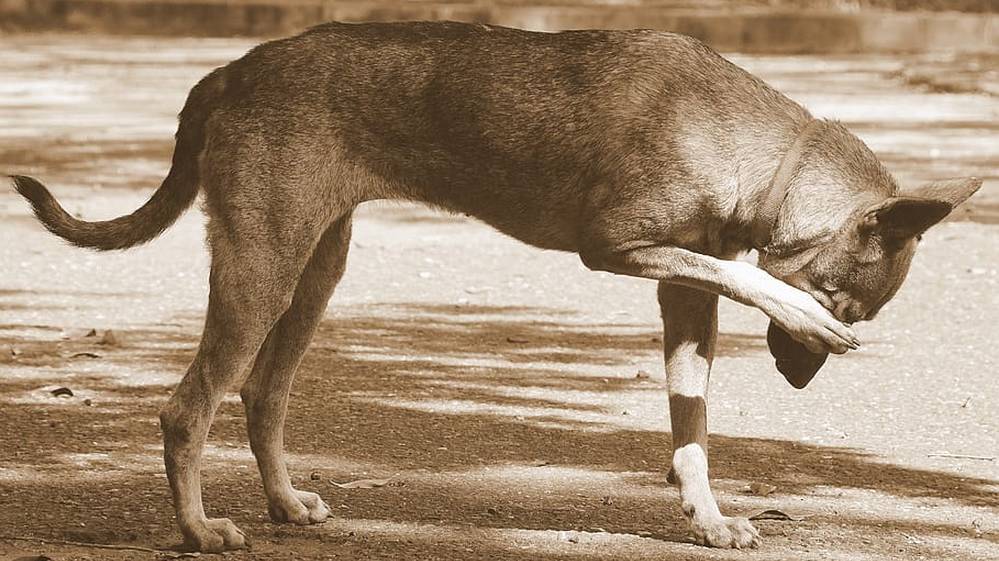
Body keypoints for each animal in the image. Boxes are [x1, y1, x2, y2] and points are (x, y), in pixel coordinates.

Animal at [9, 21, 984, 552]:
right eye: (844, 305)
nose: (798, 376)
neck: (751, 149)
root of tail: (228, 70)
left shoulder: (680, 298)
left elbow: (692, 427)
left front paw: (706, 517)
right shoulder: (615, 248)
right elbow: (743, 275)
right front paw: (791, 307)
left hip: (313, 268)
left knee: (259, 395)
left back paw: (285, 503)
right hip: (262, 268)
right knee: (188, 408)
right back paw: (197, 530)